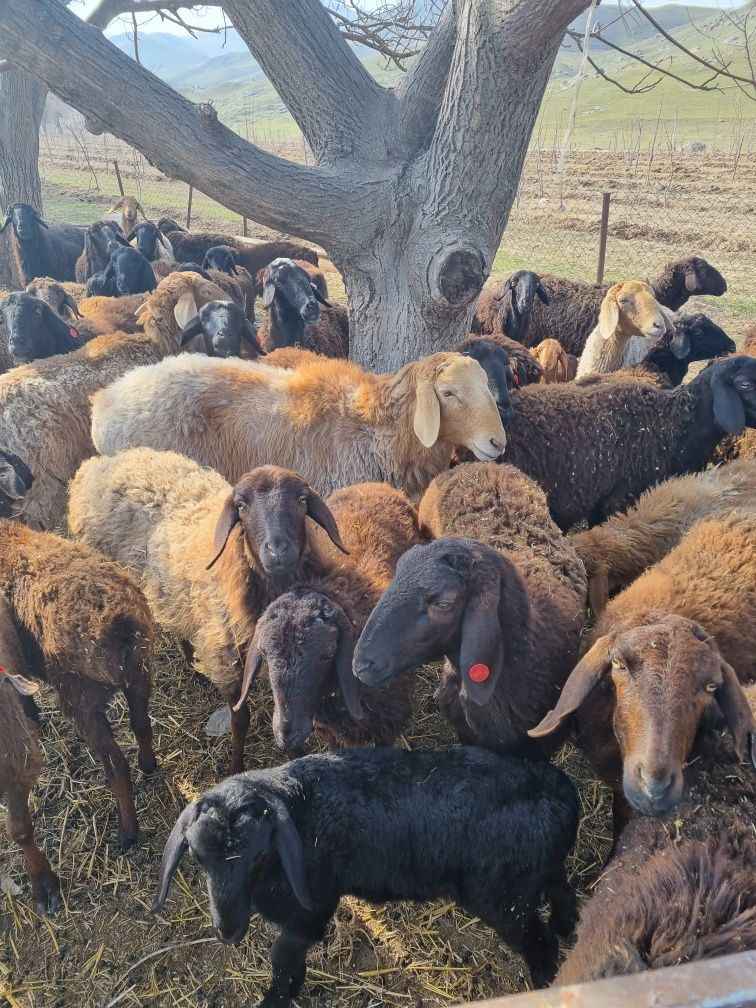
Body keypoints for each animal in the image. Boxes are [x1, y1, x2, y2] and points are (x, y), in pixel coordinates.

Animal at [0, 518, 157, 850]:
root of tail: (119, 621)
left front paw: (33, 717)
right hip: (139, 674)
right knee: (141, 724)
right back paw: (148, 765)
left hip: (81, 697)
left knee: (116, 764)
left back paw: (127, 832)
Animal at [68, 450, 349, 773]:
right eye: (241, 505)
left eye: (302, 499)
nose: (277, 550)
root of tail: (97, 464)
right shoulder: (226, 660)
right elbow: (240, 720)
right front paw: (236, 766)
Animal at [152, 746, 580, 1000]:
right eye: (198, 858)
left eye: (257, 856)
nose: (227, 932)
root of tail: (562, 794)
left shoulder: (313, 909)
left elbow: (283, 957)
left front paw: (277, 997)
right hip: (534, 876)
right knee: (562, 888)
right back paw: (566, 923)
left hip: (503, 900)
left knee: (542, 945)